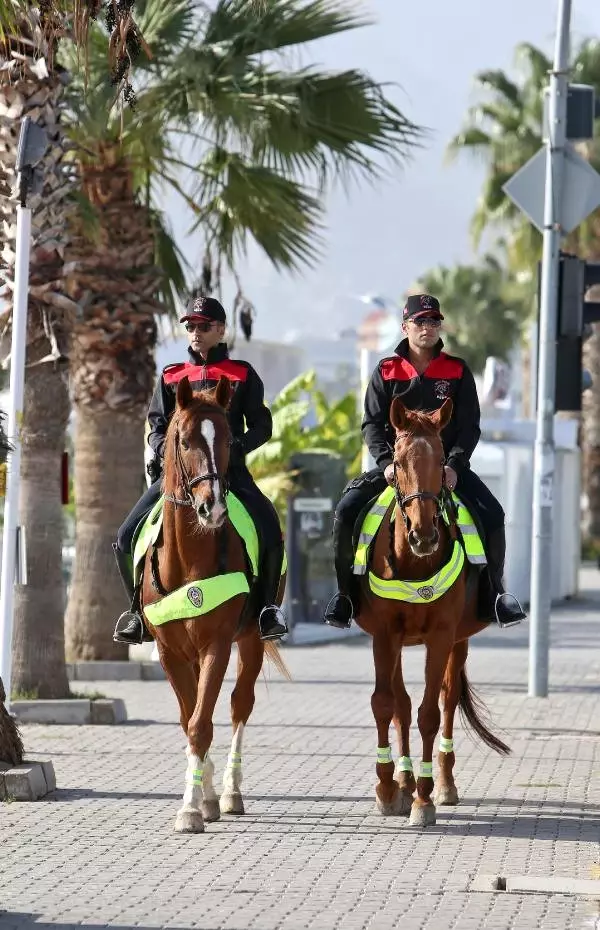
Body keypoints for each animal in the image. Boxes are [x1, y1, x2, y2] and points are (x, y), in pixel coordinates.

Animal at [141, 374, 290, 832]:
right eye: (184, 439)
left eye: (227, 438)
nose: (213, 507)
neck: (188, 556)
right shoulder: (170, 651)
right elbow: (189, 718)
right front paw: (198, 799)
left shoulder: (217, 645)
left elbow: (201, 723)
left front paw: (193, 806)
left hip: (252, 640)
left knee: (240, 705)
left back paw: (230, 792)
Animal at [354, 396, 508, 824]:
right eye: (398, 460)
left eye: (441, 459)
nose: (424, 536)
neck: (414, 562)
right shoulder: (385, 634)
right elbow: (386, 704)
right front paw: (388, 788)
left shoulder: (441, 635)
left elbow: (429, 714)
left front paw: (424, 799)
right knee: (401, 705)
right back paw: (404, 783)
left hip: (458, 642)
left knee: (448, 699)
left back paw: (443, 785)